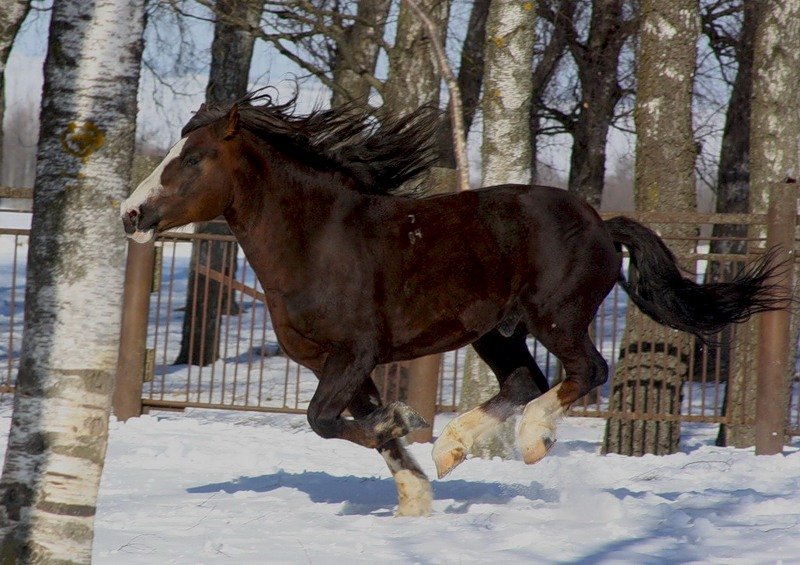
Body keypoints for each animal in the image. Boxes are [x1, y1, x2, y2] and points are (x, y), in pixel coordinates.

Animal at [120, 91, 788, 516]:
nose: (131, 214)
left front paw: (404, 421)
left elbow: (325, 421)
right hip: (497, 331)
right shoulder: (330, 363)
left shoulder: (354, 353)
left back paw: (530, 439)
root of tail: (602, 223)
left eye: (193, 158)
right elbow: (351, 424)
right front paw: (415, 495)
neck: (317, 239)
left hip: (556, 316)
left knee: (584, 371)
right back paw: (452, 449)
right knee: (523, 379)